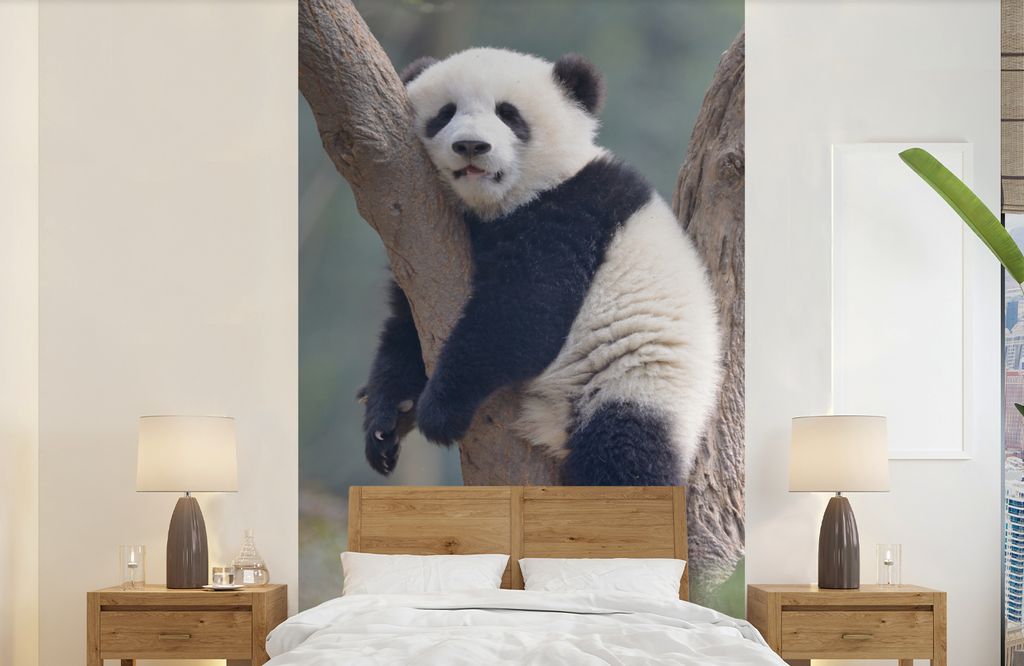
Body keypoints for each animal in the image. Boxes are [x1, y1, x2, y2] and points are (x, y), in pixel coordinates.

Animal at [359, 48, 722, 486]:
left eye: (509, 114)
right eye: (445, 114)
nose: (471, 146)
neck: (498, 205)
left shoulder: (573, 213)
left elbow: (524, 314)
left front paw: (439, 410)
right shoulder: (420, 244)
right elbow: (407, 325)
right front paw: (386, 419)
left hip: (637, 384)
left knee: (624, 456)